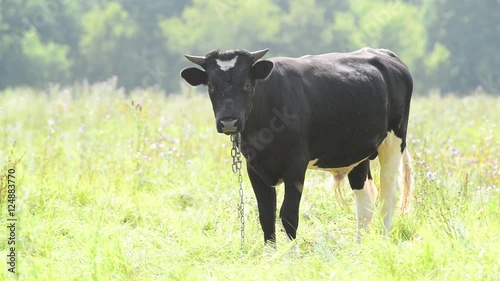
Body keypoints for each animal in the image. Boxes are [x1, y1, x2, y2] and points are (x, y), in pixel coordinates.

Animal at [180, 47, 414, 247]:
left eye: (246, 84)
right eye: (211, 87)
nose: (229, 122)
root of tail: (384, 54)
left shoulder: (295, 165)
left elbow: (288, 214)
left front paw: (291, 254)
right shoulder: (254, 167)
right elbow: (266, 214)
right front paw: (270, 255)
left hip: (393, 141)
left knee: (388, 196)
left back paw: (383, 242)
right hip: (357, 153)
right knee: (365, 201)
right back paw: (358, 247)